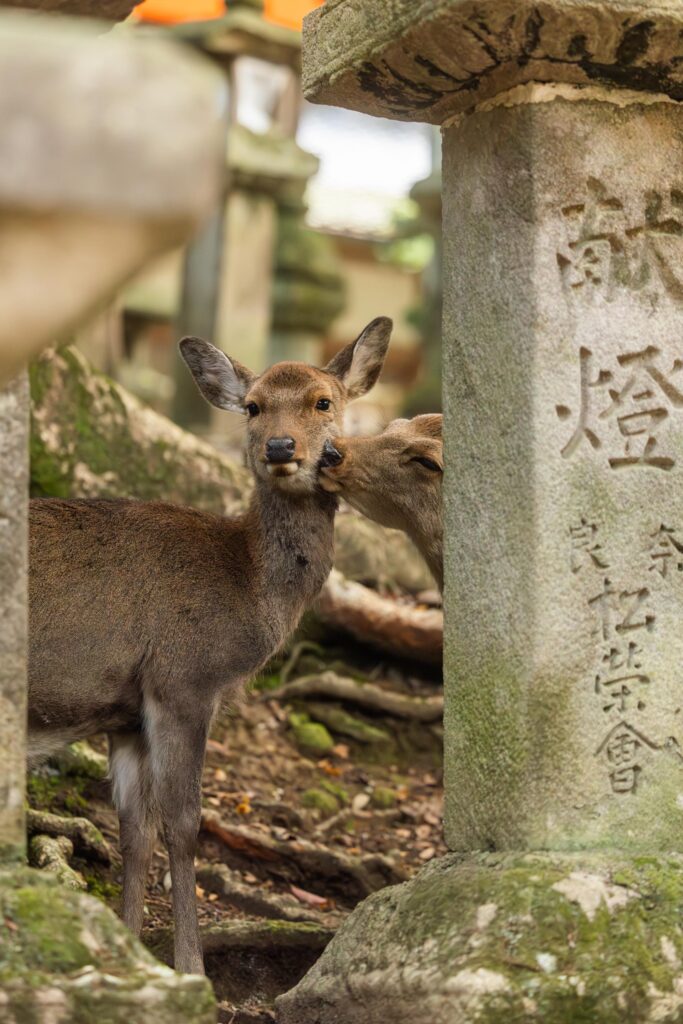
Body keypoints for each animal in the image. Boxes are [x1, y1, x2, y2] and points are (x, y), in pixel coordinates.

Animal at [27, 316, 392, 976]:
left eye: (323, 401)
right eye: (252, 406)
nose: (281, 448)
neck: (246, 587)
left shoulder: (126, 713)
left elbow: (134, 829)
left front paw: (130, 948)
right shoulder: (183, 681)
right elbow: (184, 824)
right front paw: (192, 968)